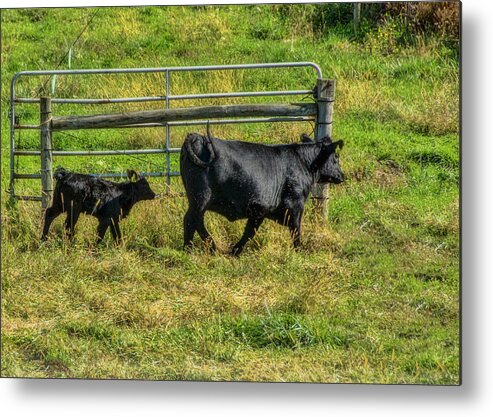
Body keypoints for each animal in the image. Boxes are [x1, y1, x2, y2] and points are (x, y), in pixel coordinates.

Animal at [179, 128, 344, 255]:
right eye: (336, 157)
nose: (342, 175)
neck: (303, 163)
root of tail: (198, 136)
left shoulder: (260, 210)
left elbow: (250, 231)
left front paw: (235, 251)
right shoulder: (295, 204)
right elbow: (295, 229)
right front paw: (299, 250)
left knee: (194, 221)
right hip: (201, 197)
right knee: (192, 220)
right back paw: (200, 247)